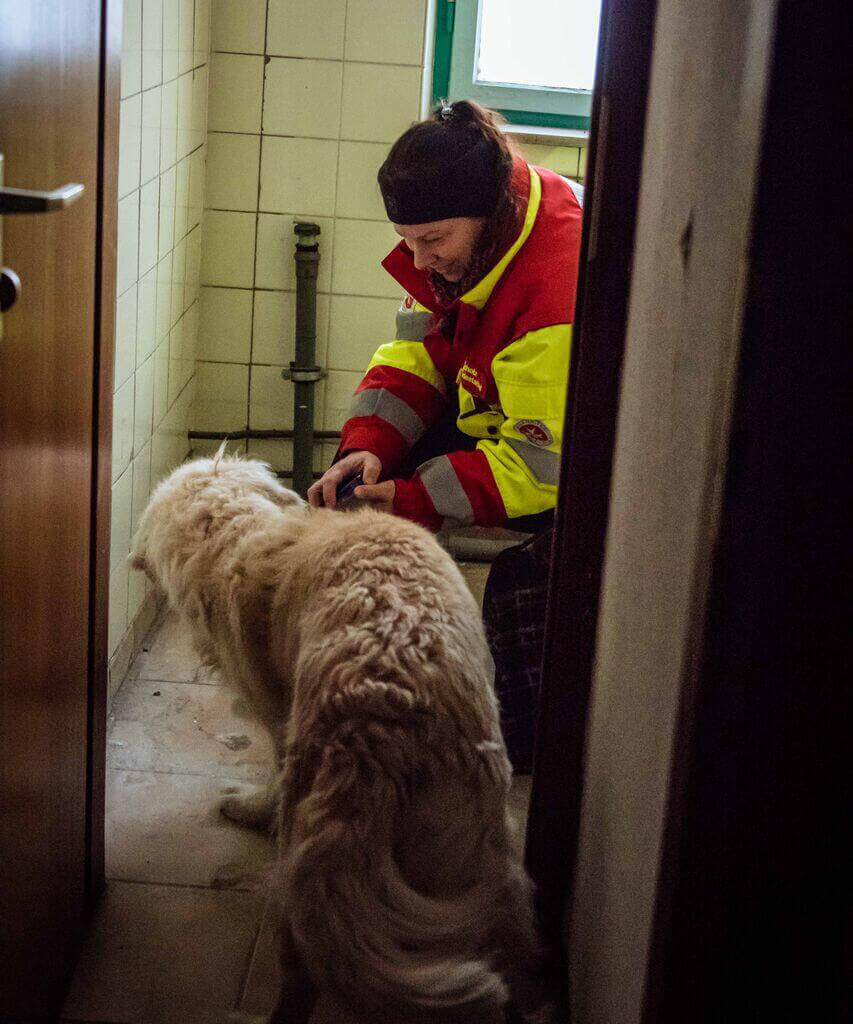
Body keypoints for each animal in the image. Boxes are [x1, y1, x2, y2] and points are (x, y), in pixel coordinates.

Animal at [130, 452, 548, 1019]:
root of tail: (376, 728)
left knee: (300, 973)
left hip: (306, 867)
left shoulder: (278, 723)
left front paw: (248, 807)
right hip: (469, 863)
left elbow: (271, 784)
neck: (237, 528)